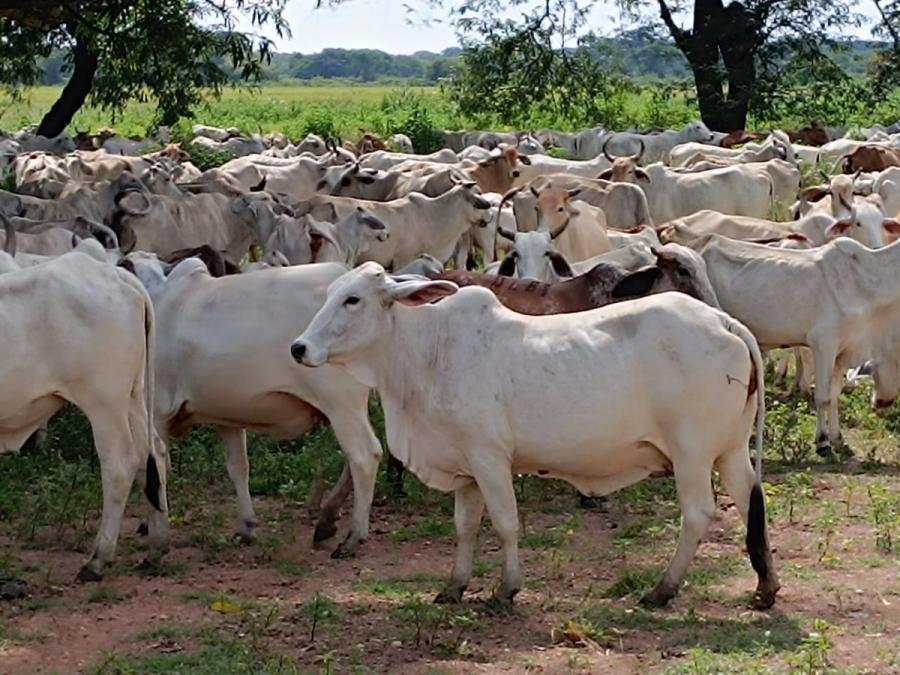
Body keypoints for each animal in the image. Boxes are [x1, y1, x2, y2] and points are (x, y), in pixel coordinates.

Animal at [292, 264, 776, 612]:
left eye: (352, 299)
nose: (299, 348)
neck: (428, 350)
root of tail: (725, 321)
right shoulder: (466, 468)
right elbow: (465, 527)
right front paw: (455, 586)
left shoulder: (489, 458)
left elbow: (506, 524)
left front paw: (506, 590)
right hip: (729, 450)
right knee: (750, 499)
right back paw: (765, 587)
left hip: (691, 452)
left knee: (697, 513)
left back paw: (662, 590)